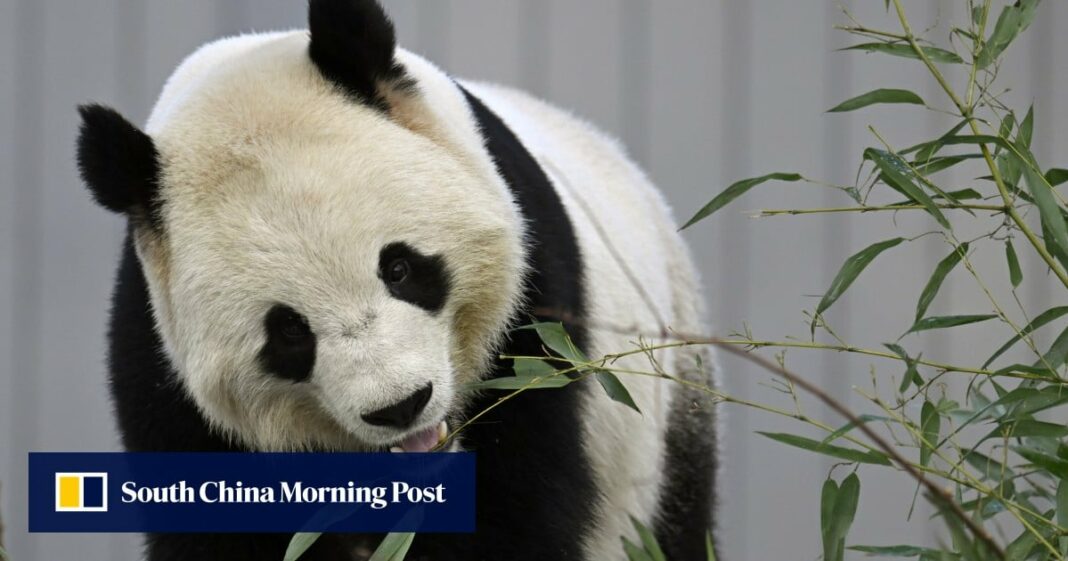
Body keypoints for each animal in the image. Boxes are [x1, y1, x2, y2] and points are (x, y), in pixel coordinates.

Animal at [77, 1, 717, 559]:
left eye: (400, 268)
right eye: (288, 332)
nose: (401, 407)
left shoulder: (536, 328)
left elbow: (515, 515)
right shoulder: (167, 379)